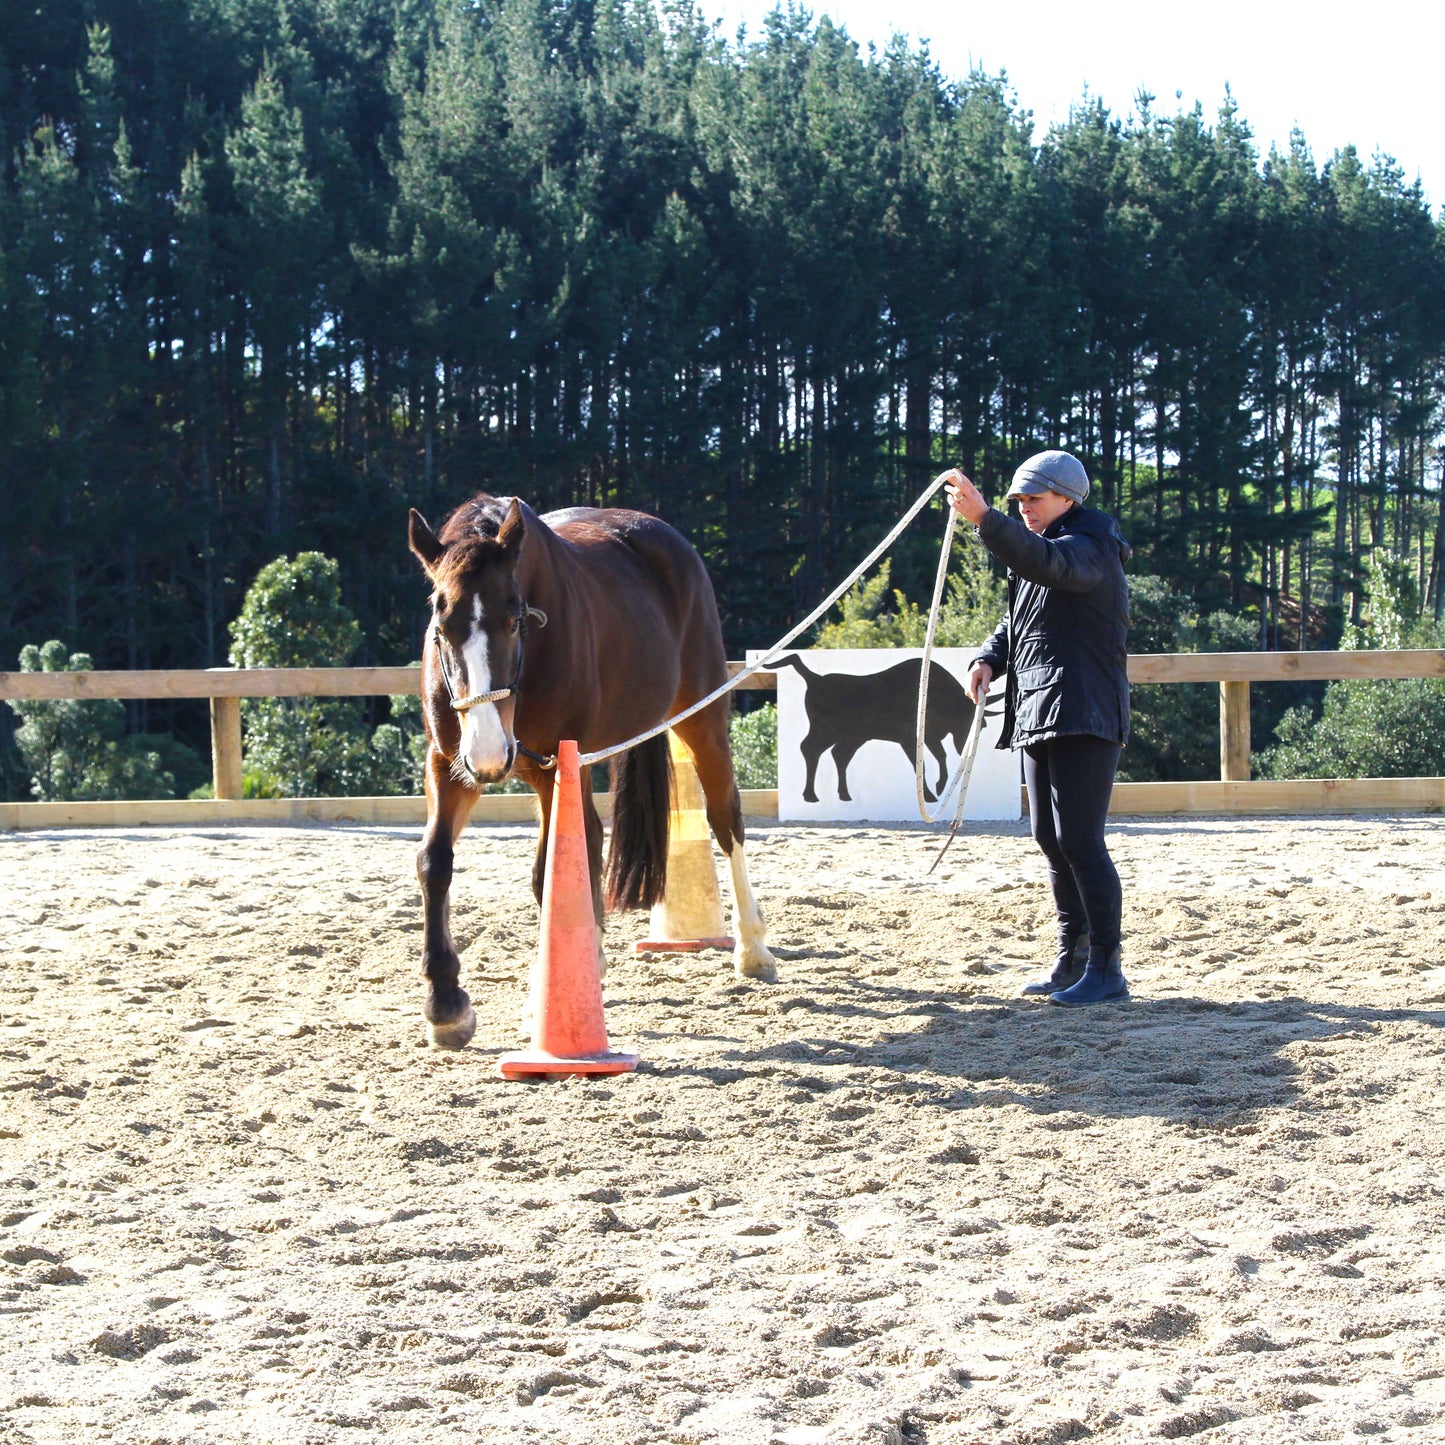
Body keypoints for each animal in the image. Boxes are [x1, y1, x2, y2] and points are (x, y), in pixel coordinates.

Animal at [404, 491, 780, 1046]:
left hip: (701, 715)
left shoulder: (552, 767)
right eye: (440, 622)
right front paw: (446, 1004)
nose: (491, 754)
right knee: (595, 834)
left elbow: (548, 871)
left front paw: (543, 1000)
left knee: (724, 817)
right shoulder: (450, 763)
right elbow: (435, 862)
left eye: (514, 620)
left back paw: (753, 949)